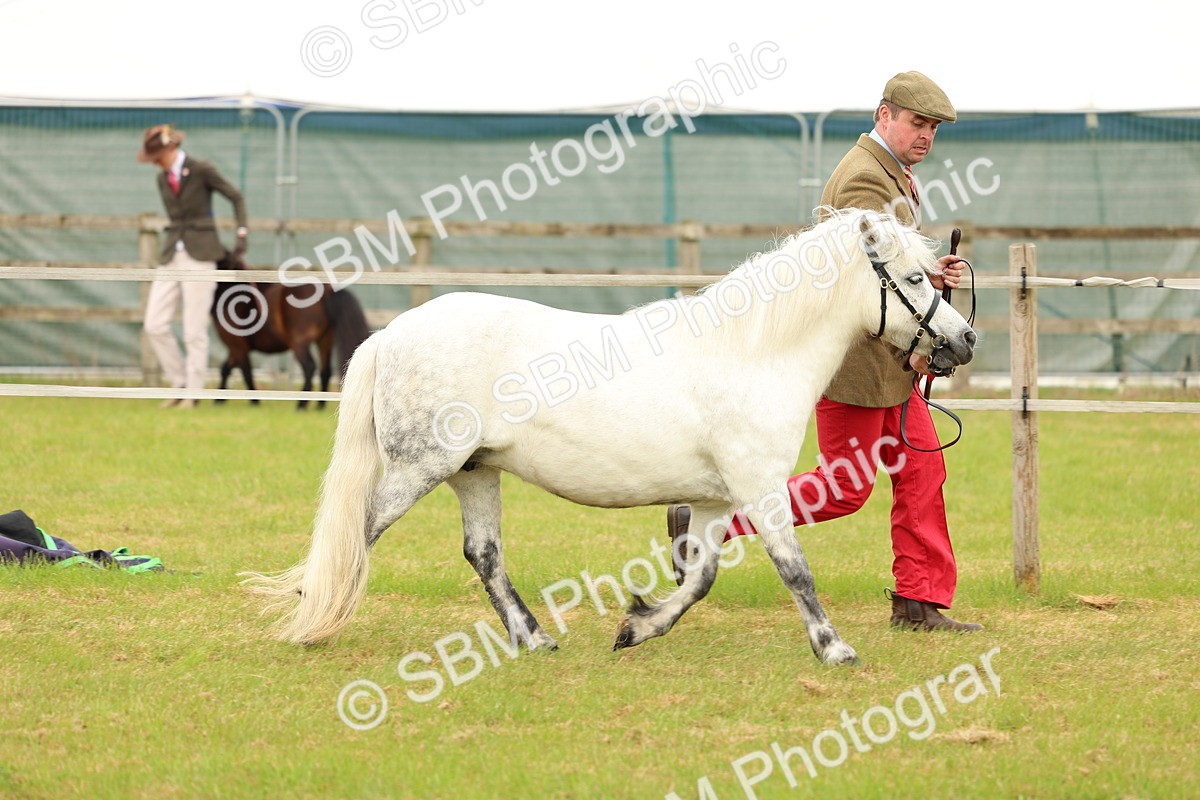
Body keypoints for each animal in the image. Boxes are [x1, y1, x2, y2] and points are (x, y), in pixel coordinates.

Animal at [211, 255, 371, 410]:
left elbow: (245, 372)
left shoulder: (236, 345)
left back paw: (302, 404)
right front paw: (220, 399)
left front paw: (254, 401)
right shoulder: (237, 347)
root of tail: (326, 290)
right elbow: (226, 369)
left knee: (309, 367)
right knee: (325, 370)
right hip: (324, 340)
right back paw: (320, 405)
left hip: (299, 343)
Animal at [243, 208, 976, 666]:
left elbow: (701, 577)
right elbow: (794, 569)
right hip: (418, 469)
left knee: (483, 554)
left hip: (476, 472)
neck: (751, 352)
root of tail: (392, 334)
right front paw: (834, 648)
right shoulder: (759, 487)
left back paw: (533, 638)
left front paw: (638, 625)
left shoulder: (715, 499)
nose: (964, 340)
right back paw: (318, 612)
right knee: (358, 532)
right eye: (915, 278)